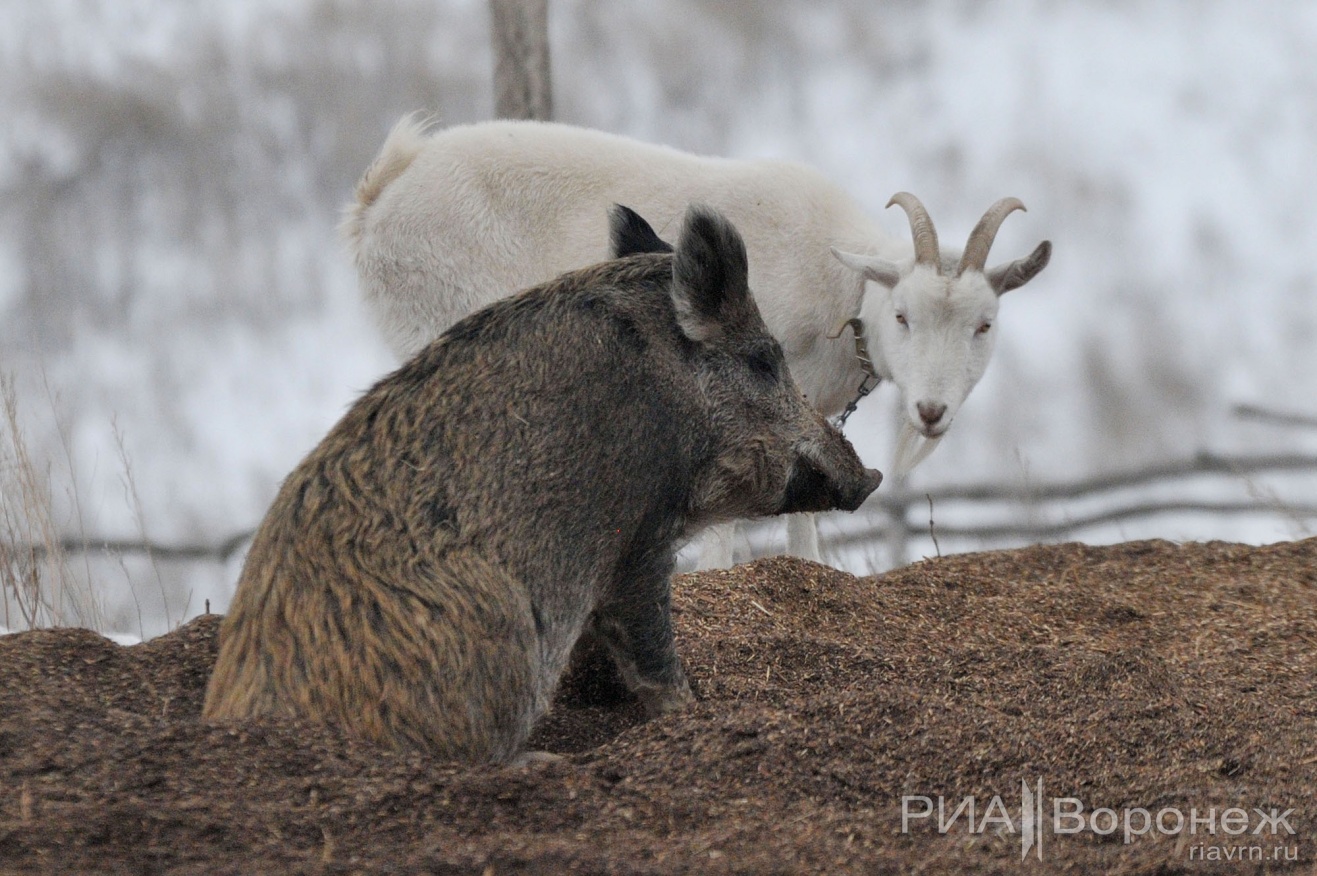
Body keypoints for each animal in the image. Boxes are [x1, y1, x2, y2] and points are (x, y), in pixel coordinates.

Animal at [339, 115, 1048, 566]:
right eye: (903, 315)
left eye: (984, 325)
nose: (931, 412)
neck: (842, 288)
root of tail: (382, 196)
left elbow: (805, 520)